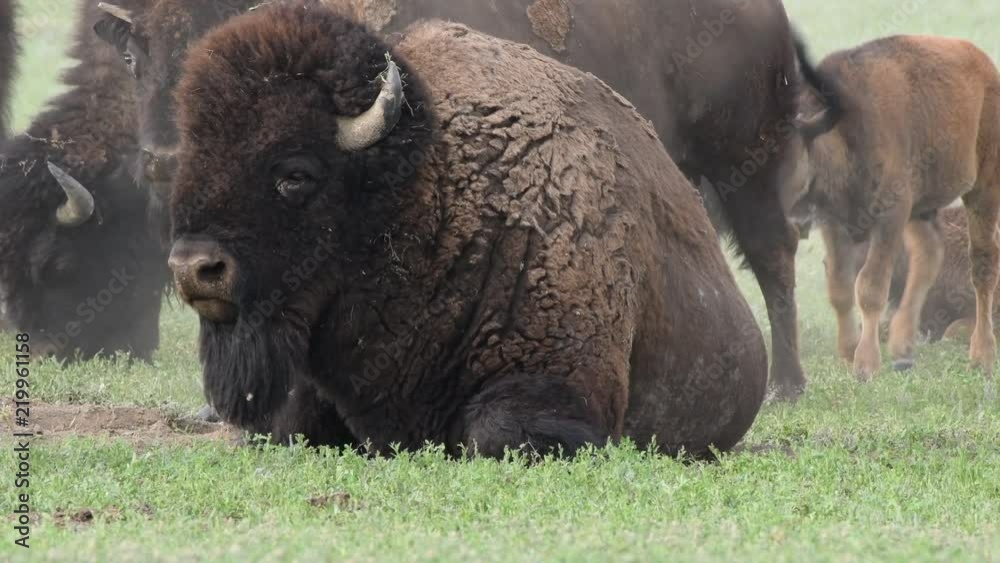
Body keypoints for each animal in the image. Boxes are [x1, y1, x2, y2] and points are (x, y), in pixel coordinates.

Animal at [95, 0, 820, 400]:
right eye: (132, 57)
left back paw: (785, 385)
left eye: (292, 173)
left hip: (747, 164)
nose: (162, 160)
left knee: (774, 259)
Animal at [797, 35, 1000, 378]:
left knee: (983, 266)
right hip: (922, 209)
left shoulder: (890, 215)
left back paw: (981, 356)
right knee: (928, 256)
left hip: (983, 190)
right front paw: (848, 351)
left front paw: (865, 365)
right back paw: (902, 344)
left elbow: (870, 286)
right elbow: (840, 286)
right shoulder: (834, 223)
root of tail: (983, 65)